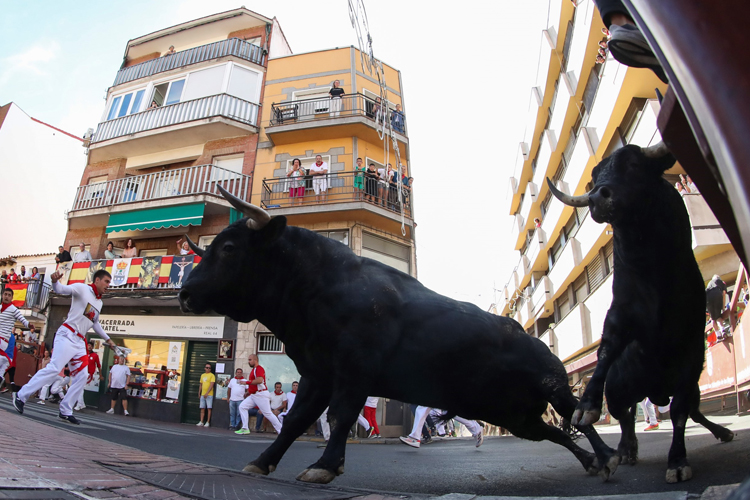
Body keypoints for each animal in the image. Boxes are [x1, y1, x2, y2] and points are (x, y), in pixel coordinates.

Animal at [179, 187, 620, 484]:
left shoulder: (354, 371)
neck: (319, 286)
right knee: (553, 432)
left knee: (578, 415)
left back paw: (608, 456)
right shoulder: (318, 374)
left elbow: (339, 417)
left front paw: (324, 466)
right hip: (516, 415)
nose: (184, 293)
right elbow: (295, 421)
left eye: (229, 247)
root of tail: (535, 338)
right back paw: (590, 462)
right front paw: (263, 461)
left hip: (552, 387)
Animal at [548, 142, 736, 484]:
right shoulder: (620, 315)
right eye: (595, 176)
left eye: (634, 164)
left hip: (691, 385)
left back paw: (721, 432)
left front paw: (677, 461)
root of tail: (655, 391)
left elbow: (679, 414)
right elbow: (605, 352)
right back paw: (627, 449)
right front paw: (586, 406)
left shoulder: (692, 345)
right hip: (620, 392)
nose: (596, 198)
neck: (651, 267)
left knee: (691, 410)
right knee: (624, 418)